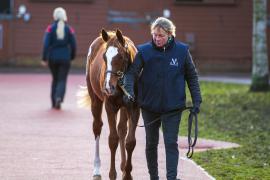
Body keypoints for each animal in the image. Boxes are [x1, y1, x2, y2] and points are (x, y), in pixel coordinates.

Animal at [77, 28, 139, 179]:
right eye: (104, 57)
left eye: (121, 57)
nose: (108, 87)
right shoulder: (110, 106)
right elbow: (112, 139)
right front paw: (112, 174)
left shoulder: (133, 106)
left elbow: (130, 141)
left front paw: (127, 174)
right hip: (95, 100)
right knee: (97, 127)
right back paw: (97, 170)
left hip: (123, 107)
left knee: (122, 129)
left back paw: (123, 167)